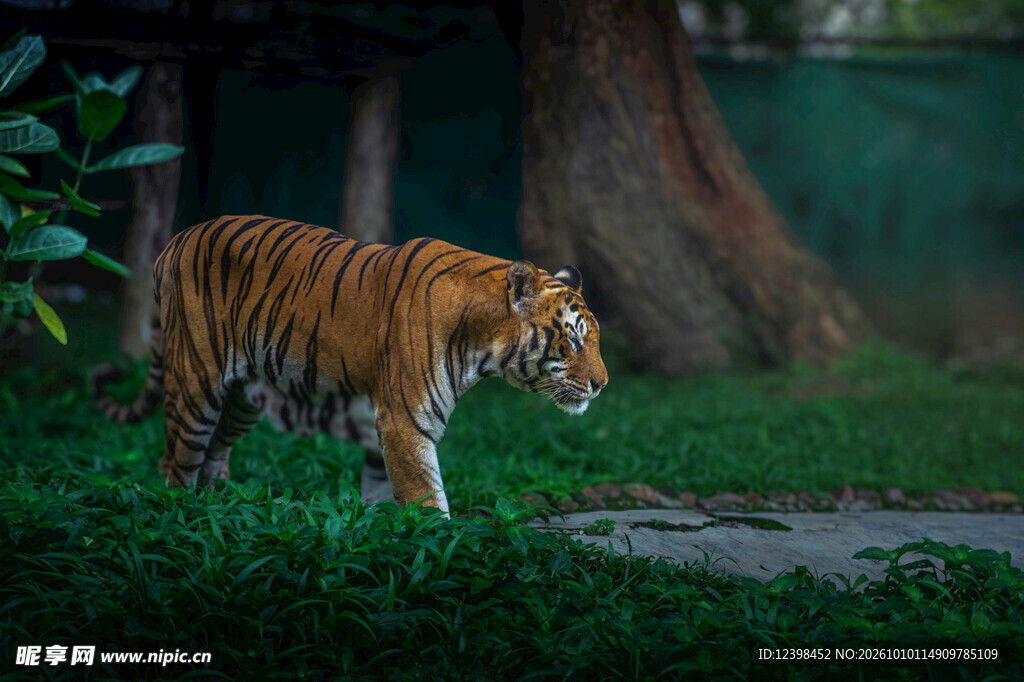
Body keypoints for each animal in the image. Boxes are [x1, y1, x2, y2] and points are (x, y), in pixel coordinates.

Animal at [92, 215, 608, 516]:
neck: (483, 347)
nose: (602, 385)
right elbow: (428, 501)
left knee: (214, 458)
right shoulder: (406, 422)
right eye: (573, 338)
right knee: (176, 464)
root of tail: (176, 239)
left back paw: (225, 514)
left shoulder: (382, 427)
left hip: (243, 397)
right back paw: (181, 522)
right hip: (196, 380)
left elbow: (384, 497)